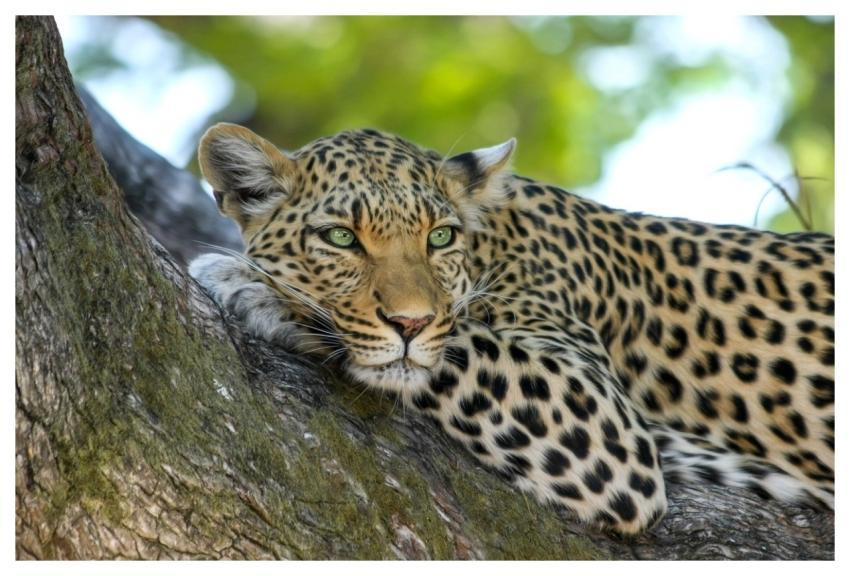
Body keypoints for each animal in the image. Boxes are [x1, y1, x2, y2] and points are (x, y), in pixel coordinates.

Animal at [189, 123, 834, 535]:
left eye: (439, 237)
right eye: (341, 237)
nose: (410, 322)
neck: (492, 243)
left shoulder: (603, 421)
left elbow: (457, 345)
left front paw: (252, 284)